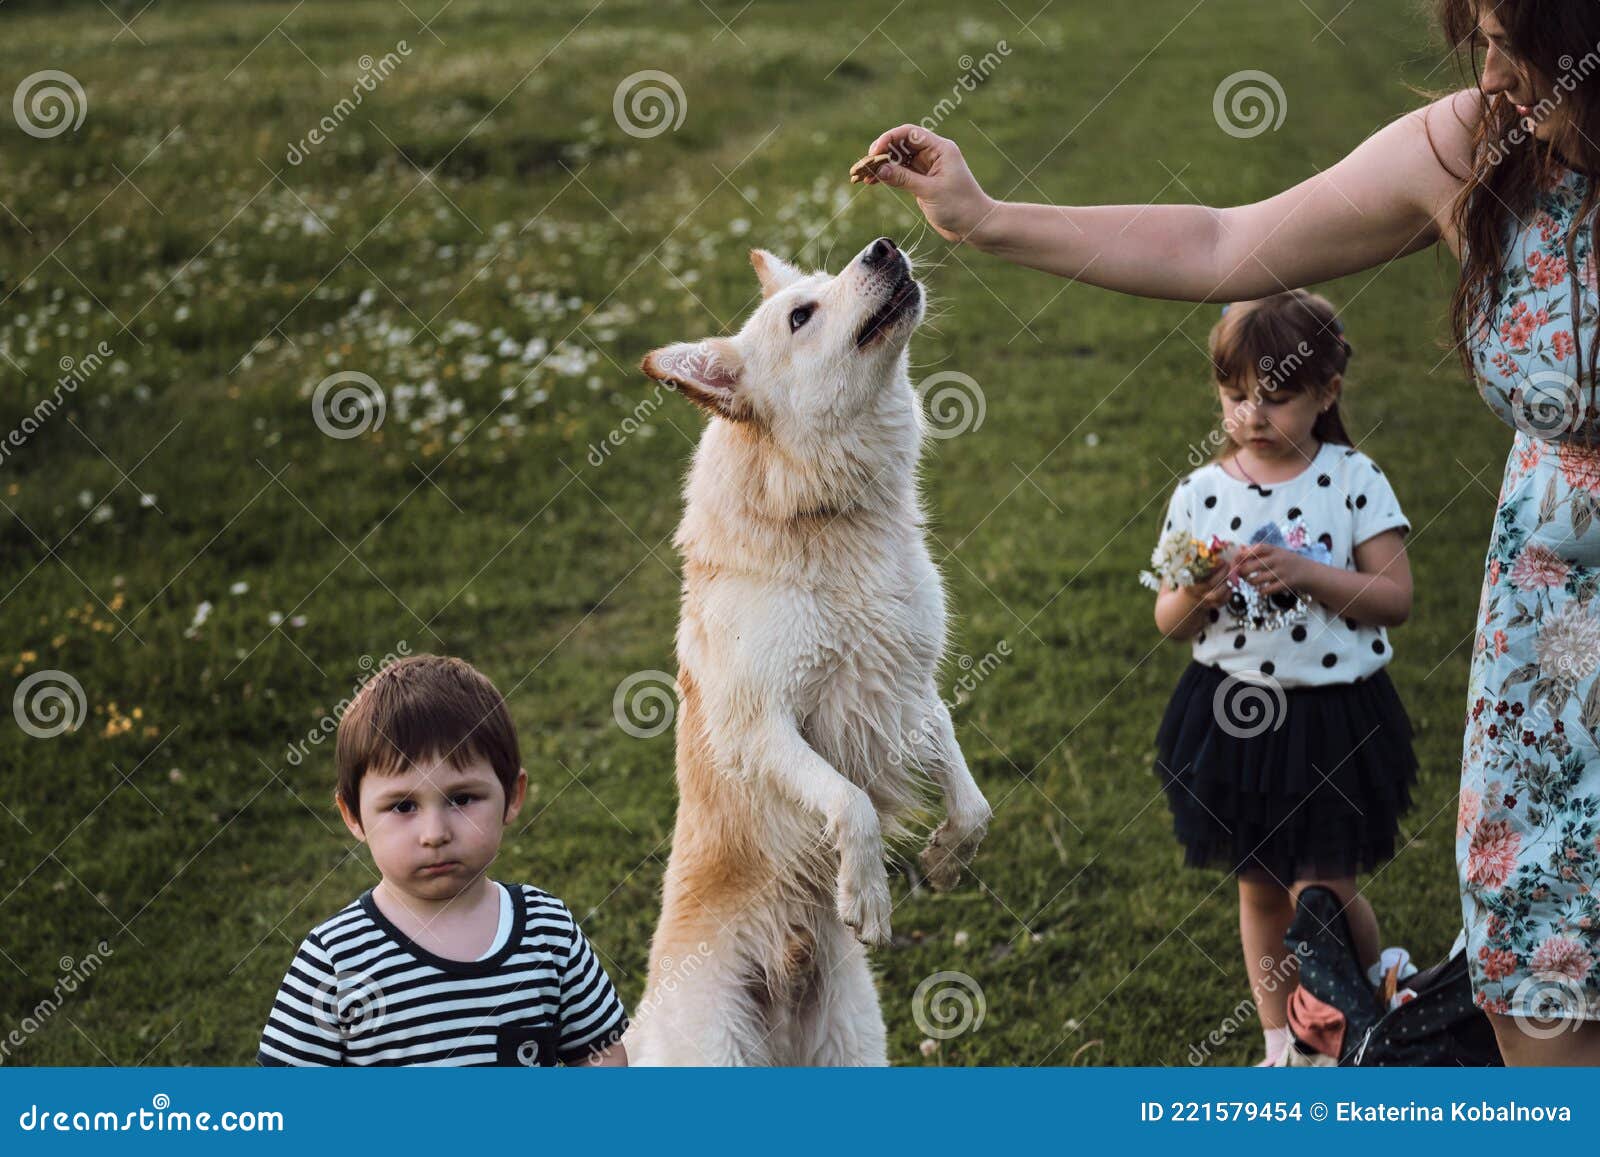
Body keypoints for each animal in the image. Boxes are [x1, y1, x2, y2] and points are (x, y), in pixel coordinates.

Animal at [620, 235, 985, 1068]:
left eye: (827, 281)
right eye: (800, 315)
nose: (883, 245)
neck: (827, 514)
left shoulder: (909, 689)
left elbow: (970, 793)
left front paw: (947, 855)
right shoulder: (760, 725)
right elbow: (849, 801)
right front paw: (867, 891)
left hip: (853, 1041)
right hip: (713, 1047)